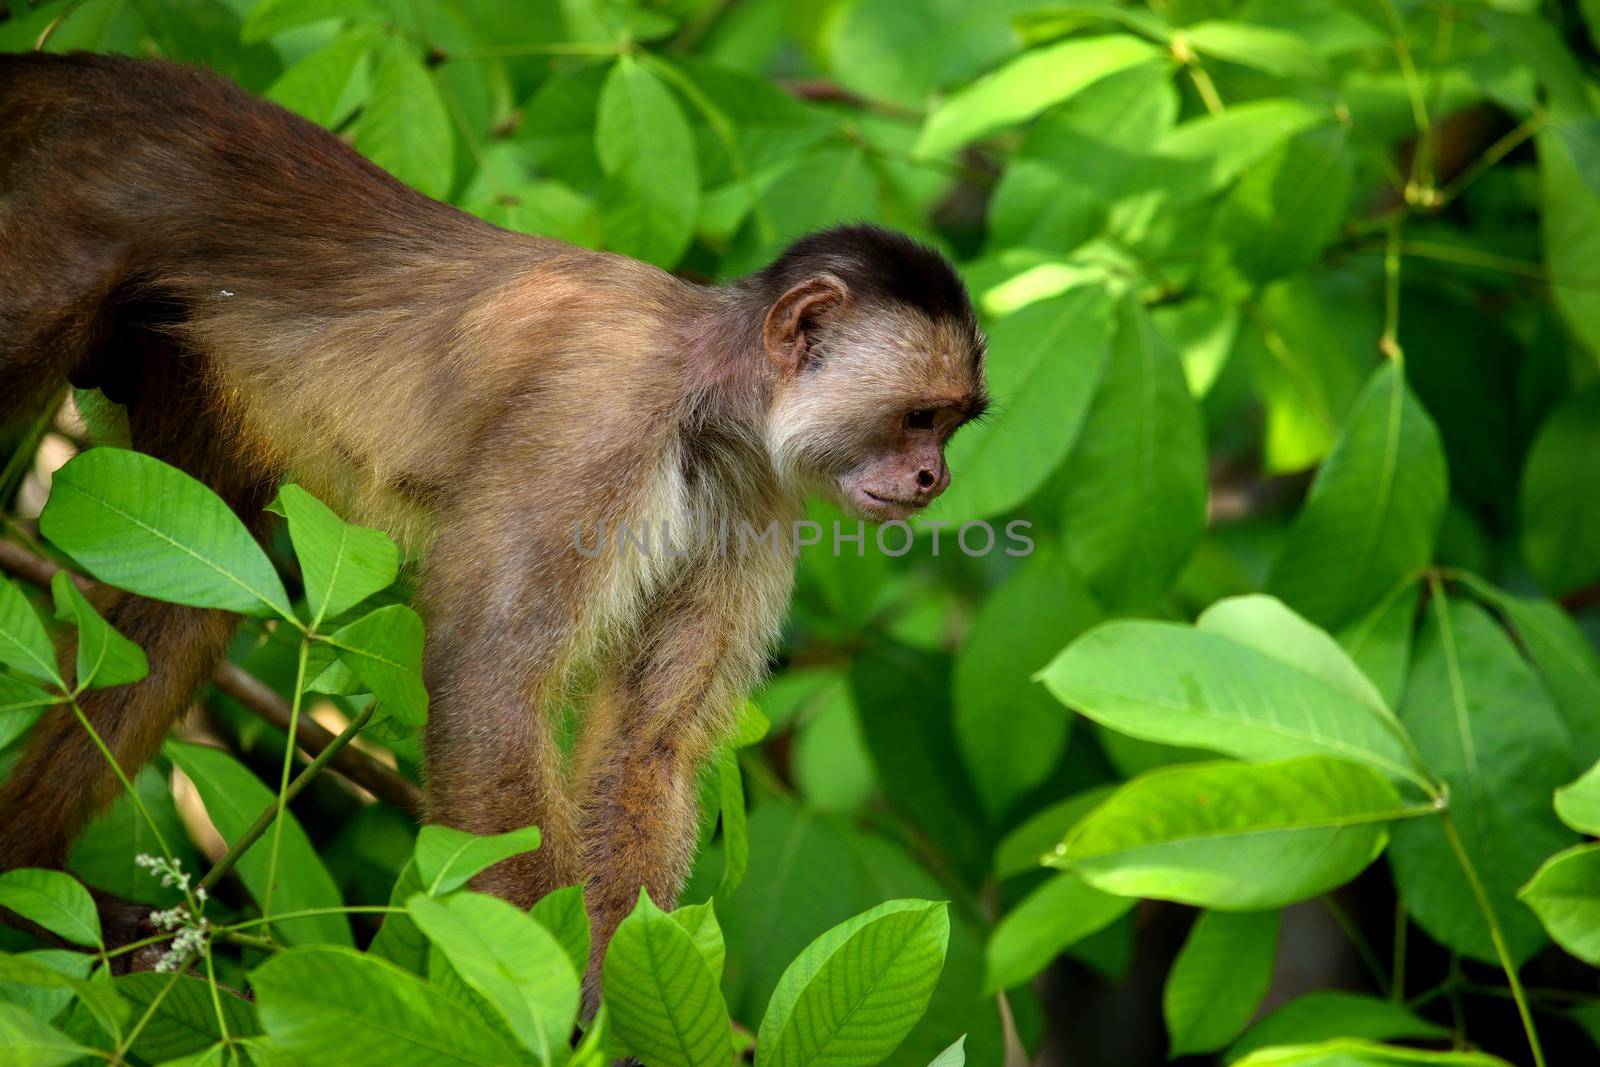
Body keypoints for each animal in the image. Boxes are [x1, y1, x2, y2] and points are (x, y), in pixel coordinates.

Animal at [0, 47, 985, 985]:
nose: (934, 476)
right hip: (65, 213)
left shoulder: (751, 500)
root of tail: (98, 83)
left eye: (954, 425)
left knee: (175, 611)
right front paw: (543, 1014)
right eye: (919, 416)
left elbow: (649, 744)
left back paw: (25, 878)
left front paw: (618, 1010)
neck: (709, 401)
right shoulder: (601, 419)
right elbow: (490, 683)